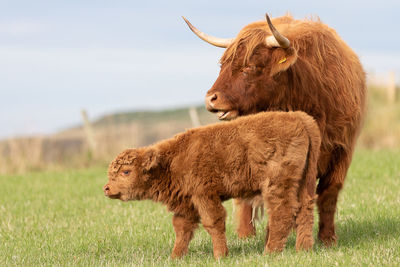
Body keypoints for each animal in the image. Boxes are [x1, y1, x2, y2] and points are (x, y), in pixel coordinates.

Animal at [104, 111, 322, 260]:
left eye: (126, 171)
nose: (106, 188)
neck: (173, 160)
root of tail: (299, 118)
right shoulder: (187, 203)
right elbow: (182, 228)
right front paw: (175, 256)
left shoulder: (204, 194)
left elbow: (213, 222)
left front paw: (220, 255)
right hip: (304, 182)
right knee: (305, 210)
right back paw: (303, 249)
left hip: (276, 184)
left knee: (282, 212)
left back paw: (270, 252)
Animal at [183, 13, 368, 246]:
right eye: (222, 64)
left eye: (250, 67)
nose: (211, 98)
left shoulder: (342, 151)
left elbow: (328, 194)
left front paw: (327, 239)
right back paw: (245, 235)